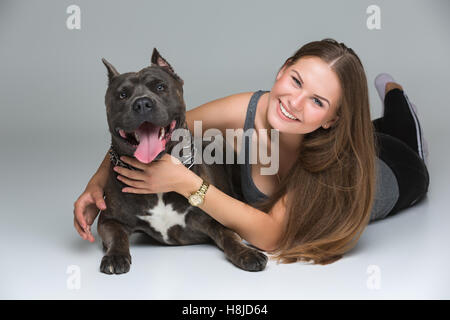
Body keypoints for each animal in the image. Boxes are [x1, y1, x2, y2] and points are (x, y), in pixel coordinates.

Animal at [98, 48, 268, 274]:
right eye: (122, 95)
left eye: (160, 87)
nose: (142, 103)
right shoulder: (109, 220)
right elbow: (117, 236)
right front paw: (115, 256)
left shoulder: (219, 218)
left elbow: (230, 236)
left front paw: (247, 253)